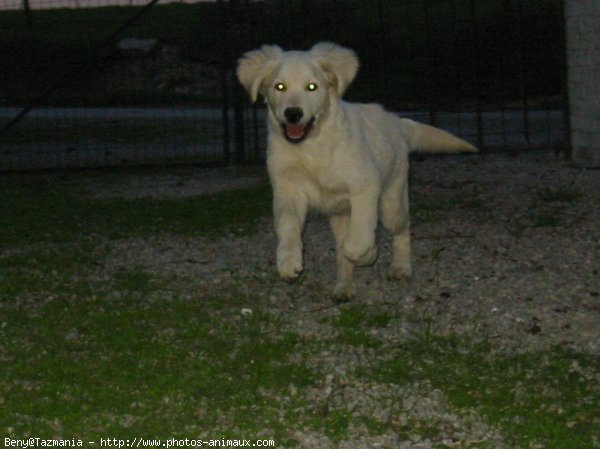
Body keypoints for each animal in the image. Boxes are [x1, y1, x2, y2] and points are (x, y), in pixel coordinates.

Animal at [237, 43, 476, 300]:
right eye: (279, 86)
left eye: (312, 87)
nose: (293, 113)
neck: (311, 147)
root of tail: (396, 121)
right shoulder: (287, 191)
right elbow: (288, 227)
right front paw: (288, 261)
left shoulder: (365, 188)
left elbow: (357, 242)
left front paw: (369, 254)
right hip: (339, 213)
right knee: (343, 247)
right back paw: (344, 287)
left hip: (391, 203)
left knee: (402, 228)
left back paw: (401, 267)